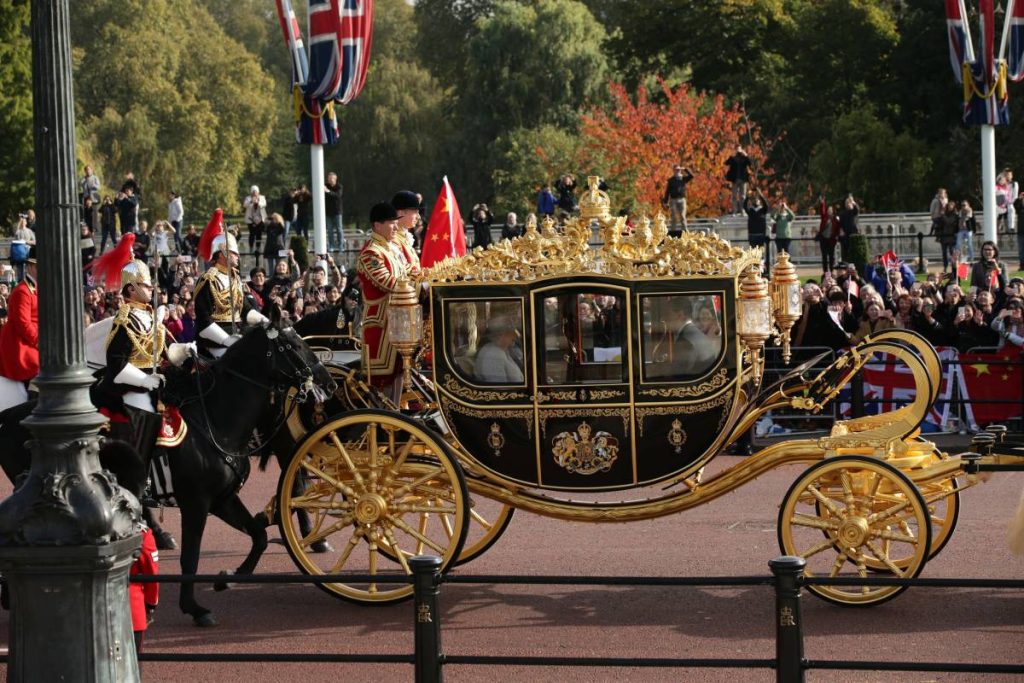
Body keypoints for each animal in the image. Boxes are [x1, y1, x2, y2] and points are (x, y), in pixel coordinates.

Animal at [0, 317, 331, 626]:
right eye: (292, 345)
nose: (328, 383)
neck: (214, 421)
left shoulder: (222, 499)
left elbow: (259, 536)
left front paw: (229, 578)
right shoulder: (196, 503)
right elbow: (190, 557)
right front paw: (194, 608)